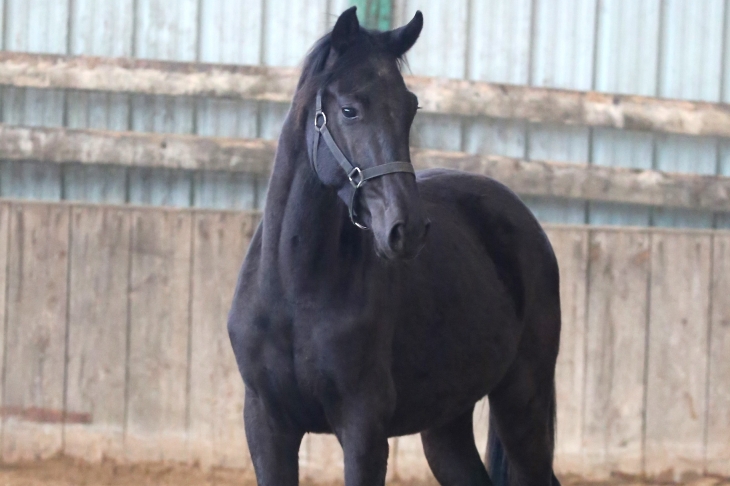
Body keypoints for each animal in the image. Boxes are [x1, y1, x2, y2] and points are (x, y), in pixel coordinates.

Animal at [230, 7, 560, 486]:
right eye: (349, 109)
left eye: (410, 108)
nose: (408, 229)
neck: (296, 290)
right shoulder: (267, 425)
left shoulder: (364, 430)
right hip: (447, 423)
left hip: (523, 404)